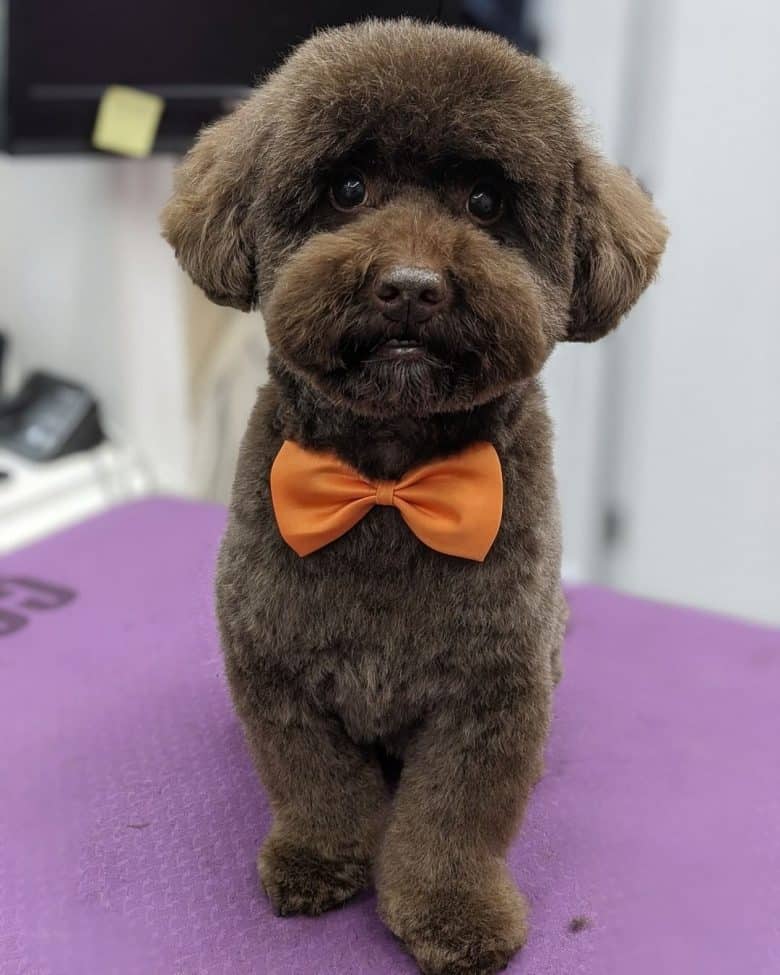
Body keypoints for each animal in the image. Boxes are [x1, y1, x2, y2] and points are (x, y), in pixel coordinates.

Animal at [161, 17, 668, 975]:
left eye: (484, 202)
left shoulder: (492, 694)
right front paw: (318, 859)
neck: (390, 484)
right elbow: (316, 782)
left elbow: (454, 819)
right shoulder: (274, 666)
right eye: (348, 188)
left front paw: (452, 912)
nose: (408, 284)